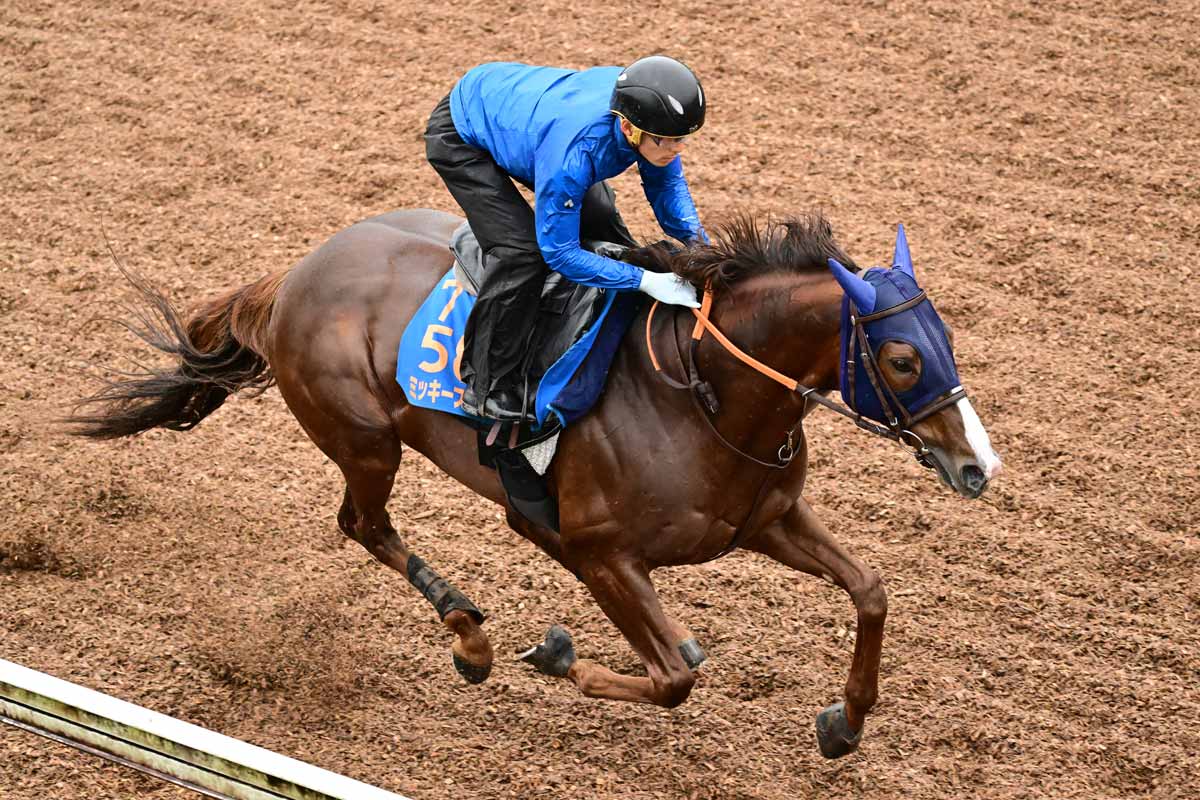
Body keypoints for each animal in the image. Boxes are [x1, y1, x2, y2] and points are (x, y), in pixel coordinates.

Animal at [69, 209, 1001, 758]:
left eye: (947, 340)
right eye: (902, 358)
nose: (976, 467)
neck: (700, 395)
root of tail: (293, 275)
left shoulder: (767, 518)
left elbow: (870, 589)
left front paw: (845, 721)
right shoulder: (601, 553)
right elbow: (677, 674)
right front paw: (561, 659)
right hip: (366, 441)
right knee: (364, 524)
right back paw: (471, 637)